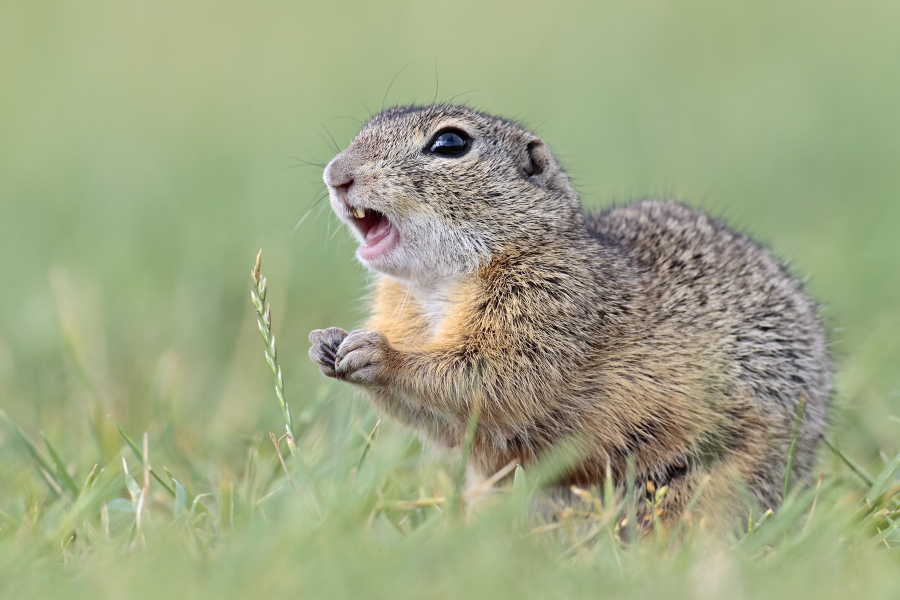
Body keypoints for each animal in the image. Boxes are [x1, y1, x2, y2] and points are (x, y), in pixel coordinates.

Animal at [308, 104, 832, 525]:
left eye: (450, 143)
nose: (335, 175)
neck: (437, 286)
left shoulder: (550, 306)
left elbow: (494, 378)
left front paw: (380, 355)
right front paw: (326, 343)